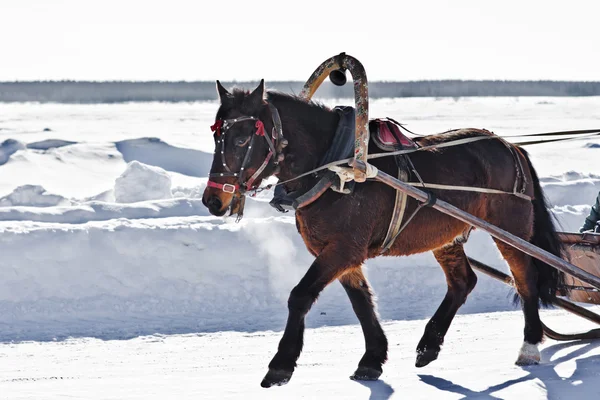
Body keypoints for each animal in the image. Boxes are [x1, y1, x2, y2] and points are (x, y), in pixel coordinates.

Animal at [203, 79, 568, 390]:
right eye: (216, 137)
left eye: (241, 139)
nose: (212, 200)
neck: (336, 167)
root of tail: (510, 146)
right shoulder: (340, 252)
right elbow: (362, 302)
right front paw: (372, 358)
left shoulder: (343, 249)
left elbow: (300, 296)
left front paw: (280, 365)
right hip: (445, 236)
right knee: (463, 281)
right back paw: (429, 345)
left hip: (510, 227)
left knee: (525, 277)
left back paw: (529, 346)